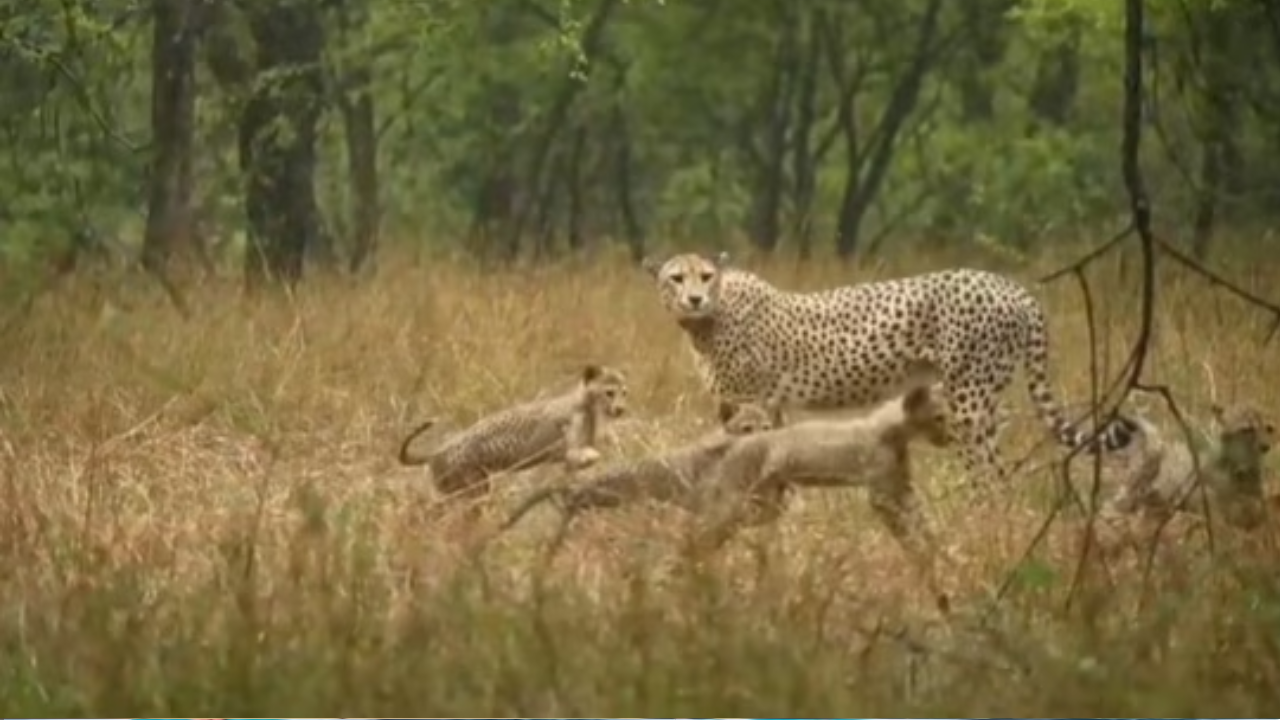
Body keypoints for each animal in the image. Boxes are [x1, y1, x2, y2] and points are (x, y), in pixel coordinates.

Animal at [394, 361, 624, 507]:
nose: (621, 409)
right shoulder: (564, 450)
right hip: (468, 491)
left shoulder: (566, 457)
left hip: (476, 488)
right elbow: (587, 454)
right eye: (609, 392)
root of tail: (435, 452)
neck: (589, 406)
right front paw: (595, 457)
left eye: (624, 392)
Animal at [645, 249, 1136, 484]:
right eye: (676, 278)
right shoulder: (766, 407)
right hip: (985, 399)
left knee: (989, 473)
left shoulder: (755, 405)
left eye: (706, 276)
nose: (694, 298)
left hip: (967, 403)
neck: (709, 320)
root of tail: (1011, 286)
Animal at [691, 376, 952, 604]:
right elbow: (907, 534)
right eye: (939, 417)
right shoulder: (880, 496)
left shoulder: (902, 487)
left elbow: (926, 525)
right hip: (741, 503)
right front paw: (922, 561)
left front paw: (938, 555)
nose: (949, 437)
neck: (893, 431)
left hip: (763, 504)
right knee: (703, 531)